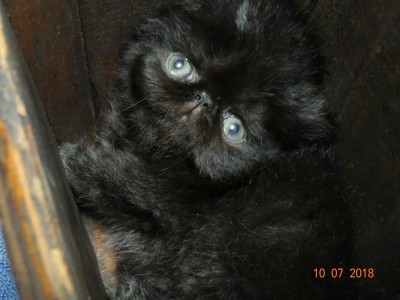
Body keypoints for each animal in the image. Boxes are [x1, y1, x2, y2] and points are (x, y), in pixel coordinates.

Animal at [61, 1, 354, 298]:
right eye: (179, 66)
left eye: (234, 128)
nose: (205, 100)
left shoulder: (166, 201)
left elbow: (126, 180)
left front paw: (70, 161)